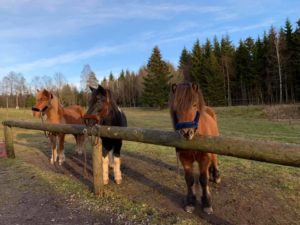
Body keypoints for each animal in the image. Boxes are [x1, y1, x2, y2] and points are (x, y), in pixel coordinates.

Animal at [170, 82, 221, 214]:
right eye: (176, 107)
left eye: (194, 105)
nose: (186, 132)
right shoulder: (185, 160)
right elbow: (189, 179)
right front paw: (190, 201)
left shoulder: (204, 159)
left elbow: (203, 180)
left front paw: (207, 203)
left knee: (215, 159)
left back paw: (216, 176)